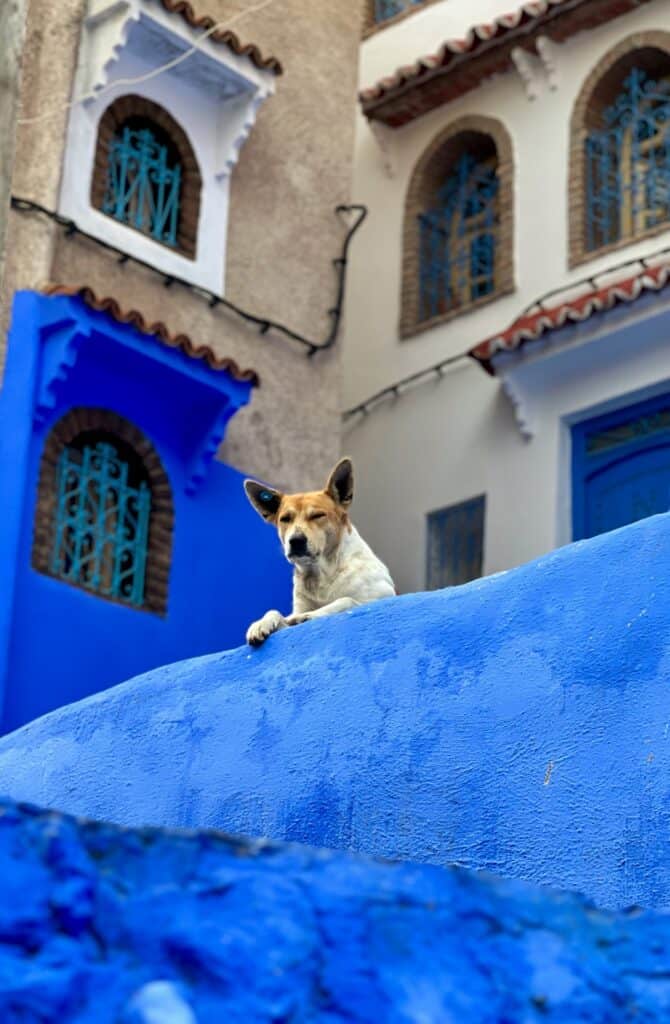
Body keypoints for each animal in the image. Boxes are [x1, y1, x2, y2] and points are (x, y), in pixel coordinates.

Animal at [243, 458, 395, 647]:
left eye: (317, 515)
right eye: (285, 519)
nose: (296, 540)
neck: (322, 574)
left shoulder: (382, 598)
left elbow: (346, 600)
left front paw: (310, 615)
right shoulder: (296, 609)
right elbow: (274, 611)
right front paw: (261, 623)